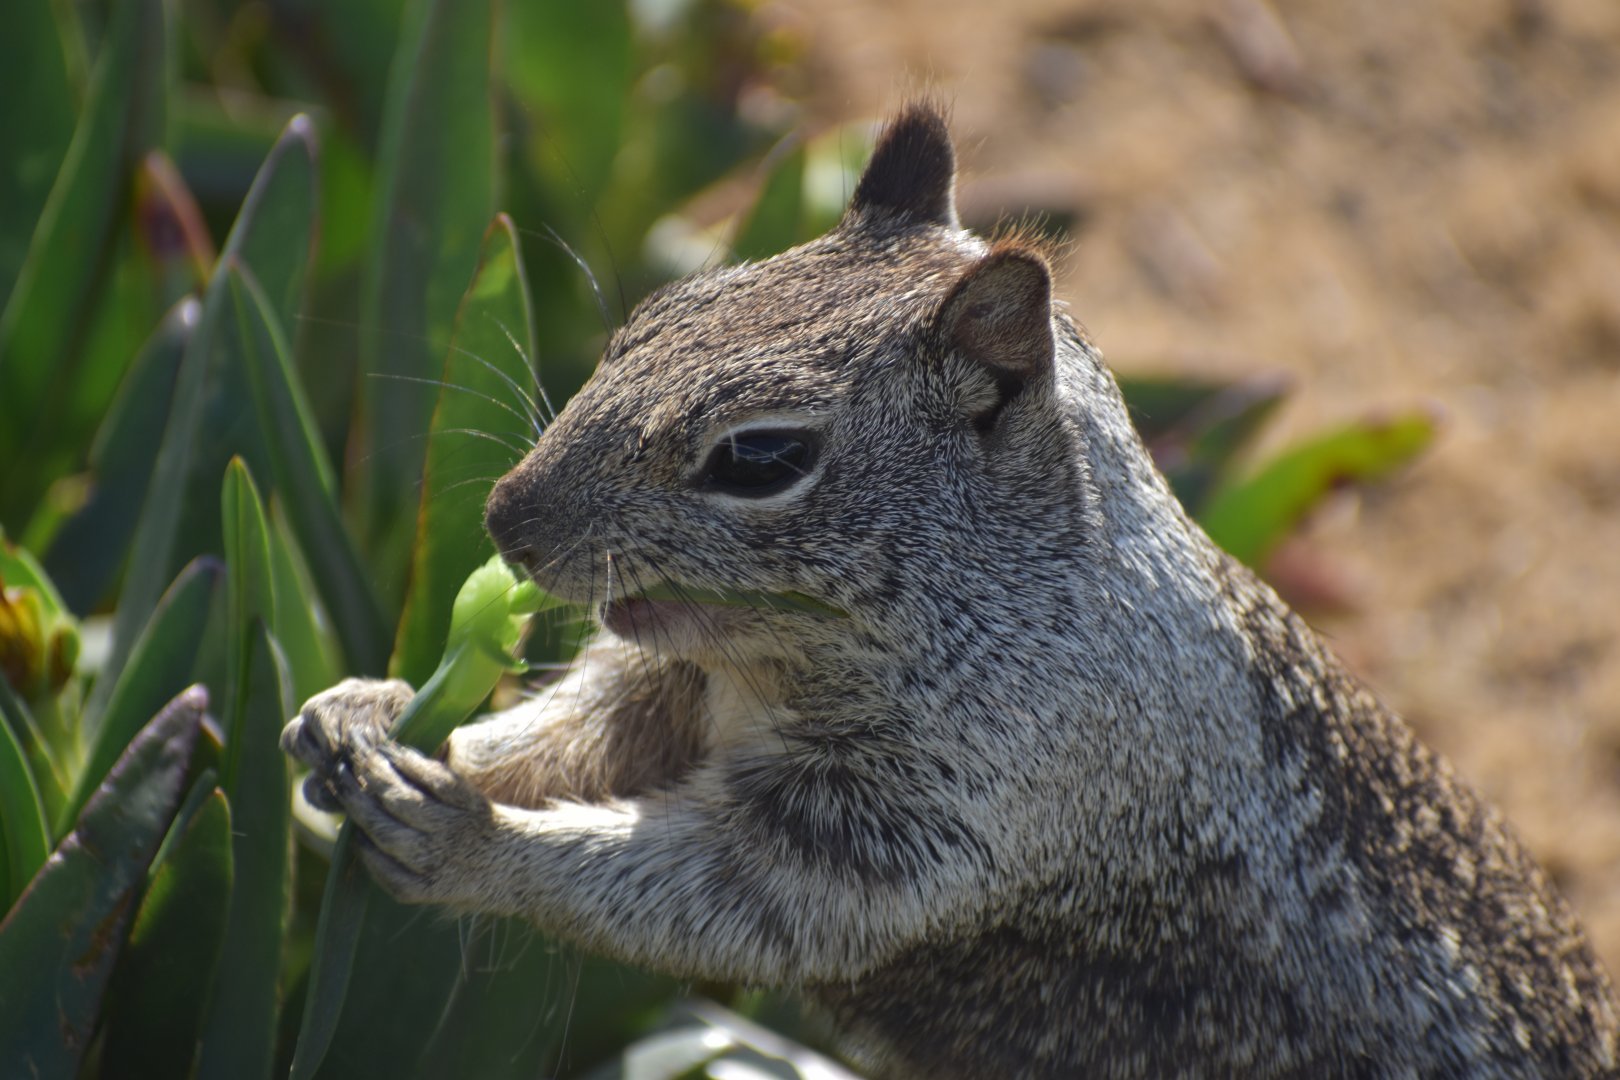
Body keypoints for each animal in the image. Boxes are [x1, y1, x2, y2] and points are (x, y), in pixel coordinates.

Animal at [282, 105, 1619, 1077]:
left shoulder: (917, 822)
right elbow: (575, 732)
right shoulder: (678, 689)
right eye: (652, 318)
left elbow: (709, 896)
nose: (506, 521)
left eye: (759, 457)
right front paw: (368, 720)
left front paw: (471, 838)